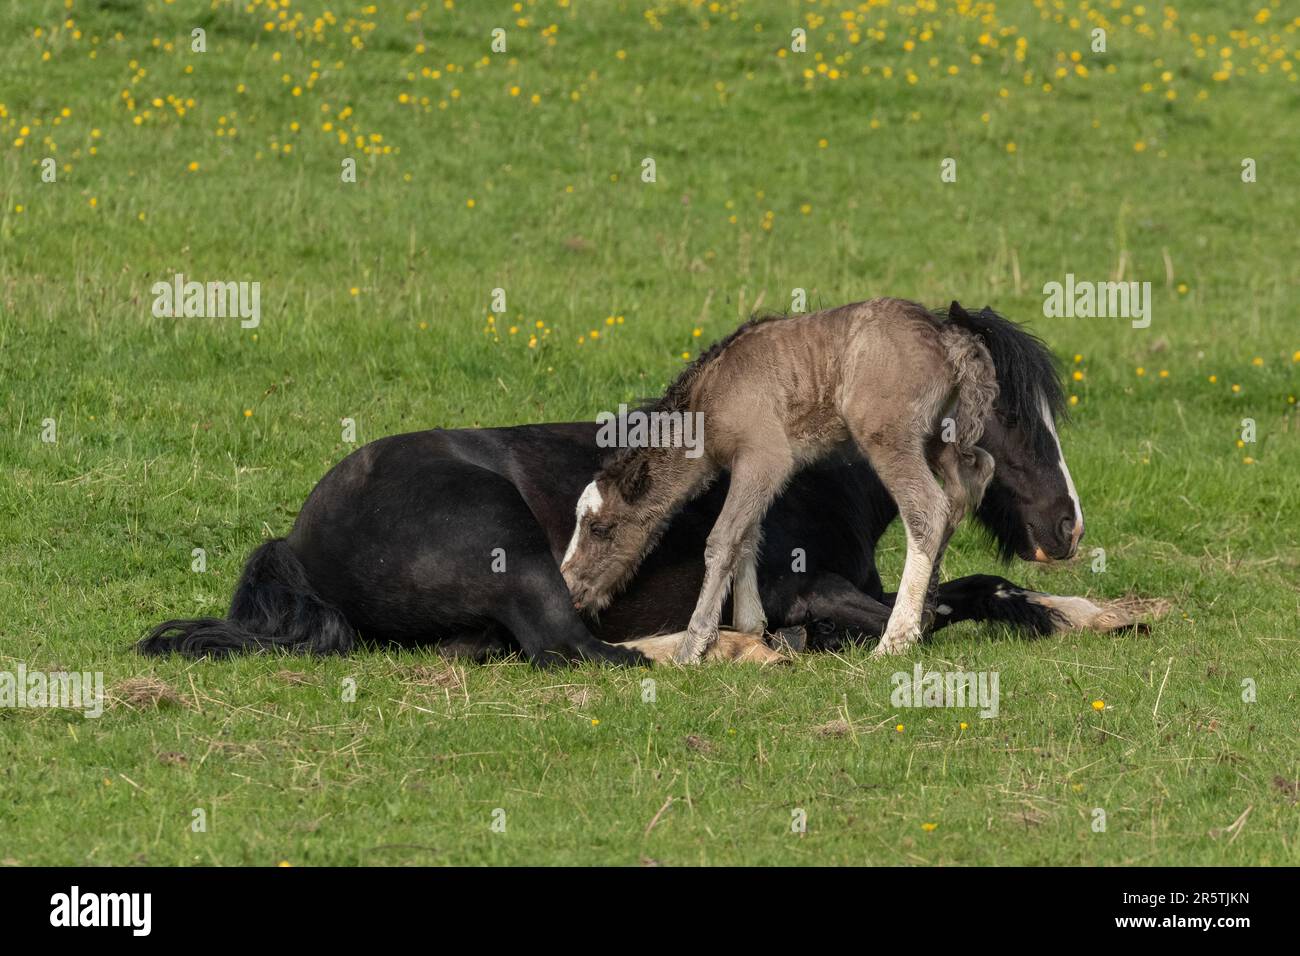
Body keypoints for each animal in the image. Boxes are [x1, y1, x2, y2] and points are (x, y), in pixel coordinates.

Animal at [138, 304, 1122, 668]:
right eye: (1019, 418)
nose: (1068, 529)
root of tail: (294, 543)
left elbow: (980, 587)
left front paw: (1093, 613)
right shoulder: (816, 583)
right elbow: (943, 605)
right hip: (509, 549)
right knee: (573, 645)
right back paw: (717, 652)